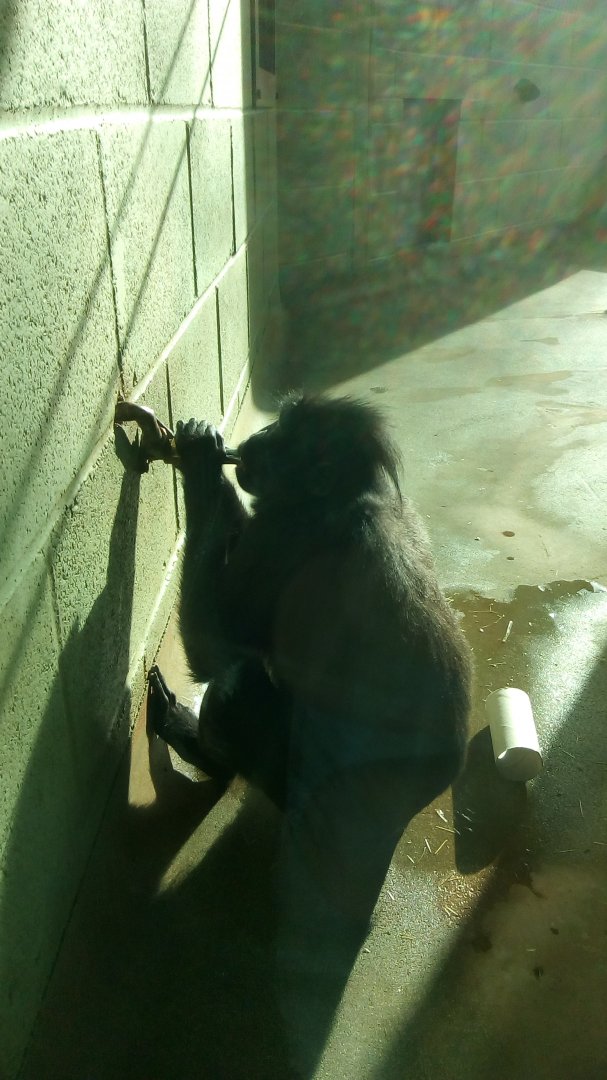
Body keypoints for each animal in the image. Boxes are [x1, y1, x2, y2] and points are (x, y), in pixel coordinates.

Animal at [148, 395, 472, 924]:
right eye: (278, 421)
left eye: (283, 436)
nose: (256, 439)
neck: (341, 498)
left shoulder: (282, 539)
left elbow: (213, 647)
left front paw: (199, 461)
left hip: (304, 796)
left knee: (235, 688)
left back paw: (199, 749)